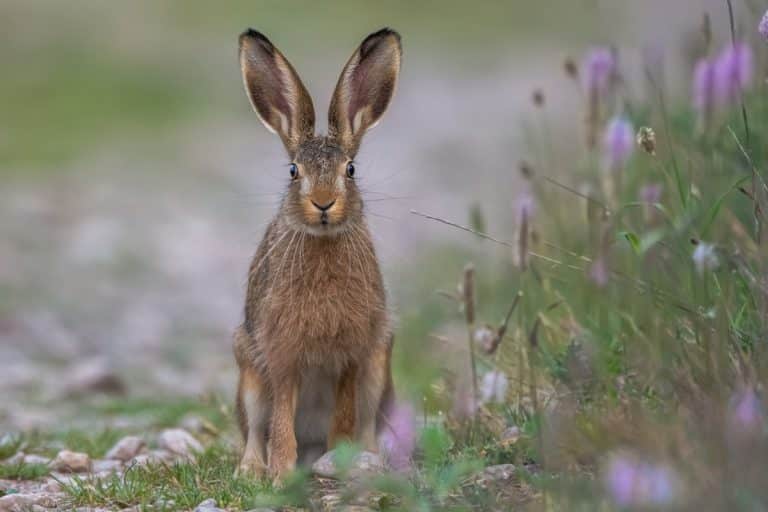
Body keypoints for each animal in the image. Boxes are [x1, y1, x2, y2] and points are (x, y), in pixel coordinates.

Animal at [232, 27, 402, 481]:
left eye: (351, 171)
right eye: (294, 171)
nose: (323, 203)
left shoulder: (352, 356)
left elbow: (343, 416)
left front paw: (339, 458)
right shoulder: (281, 356)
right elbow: (280, 419)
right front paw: (279, 473)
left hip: (379, 368)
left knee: (367, 422)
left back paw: (368, 458)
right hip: (247, 369)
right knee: (254, 427)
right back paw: (252, 468)